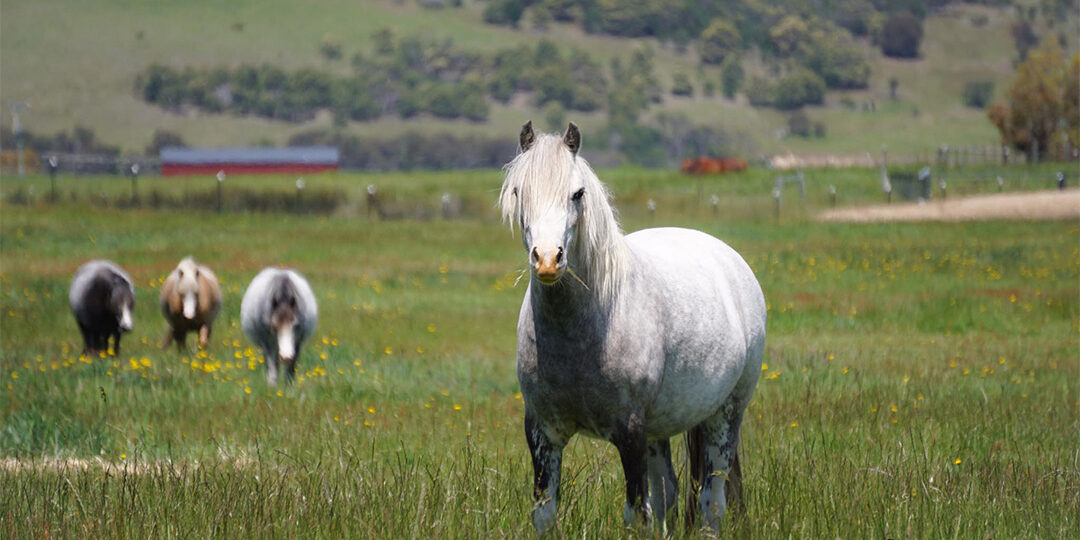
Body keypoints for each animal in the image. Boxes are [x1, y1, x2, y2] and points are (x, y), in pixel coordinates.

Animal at [498, 121, 767, 534]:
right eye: (518, 191)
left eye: (577, 193)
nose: (547, 260)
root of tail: (731, 260)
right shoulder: (543, 432)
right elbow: (544, 512)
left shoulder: (630, 433)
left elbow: (637, 514)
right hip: (661, 429)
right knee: (669, 492)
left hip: (725, 415)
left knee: (712, 499)